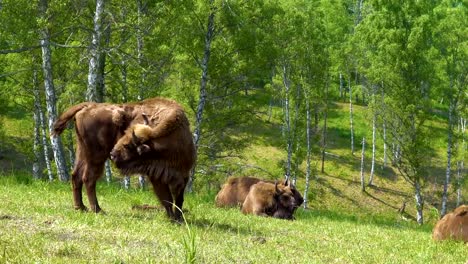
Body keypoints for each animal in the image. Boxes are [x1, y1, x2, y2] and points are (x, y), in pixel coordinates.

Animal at [52, 97, 195, 221]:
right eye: (124, 134)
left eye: (127, 145)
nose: (113, 154)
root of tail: (89, 106)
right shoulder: (157, 176)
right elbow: (167, 198)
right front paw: (172, 218)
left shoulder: (183, 175)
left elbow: (179, 200)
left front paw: (179, 218)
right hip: (96, 157)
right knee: (88, 178)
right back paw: (97, 210)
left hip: (82, 151)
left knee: (76, 175)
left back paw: (80, 207)